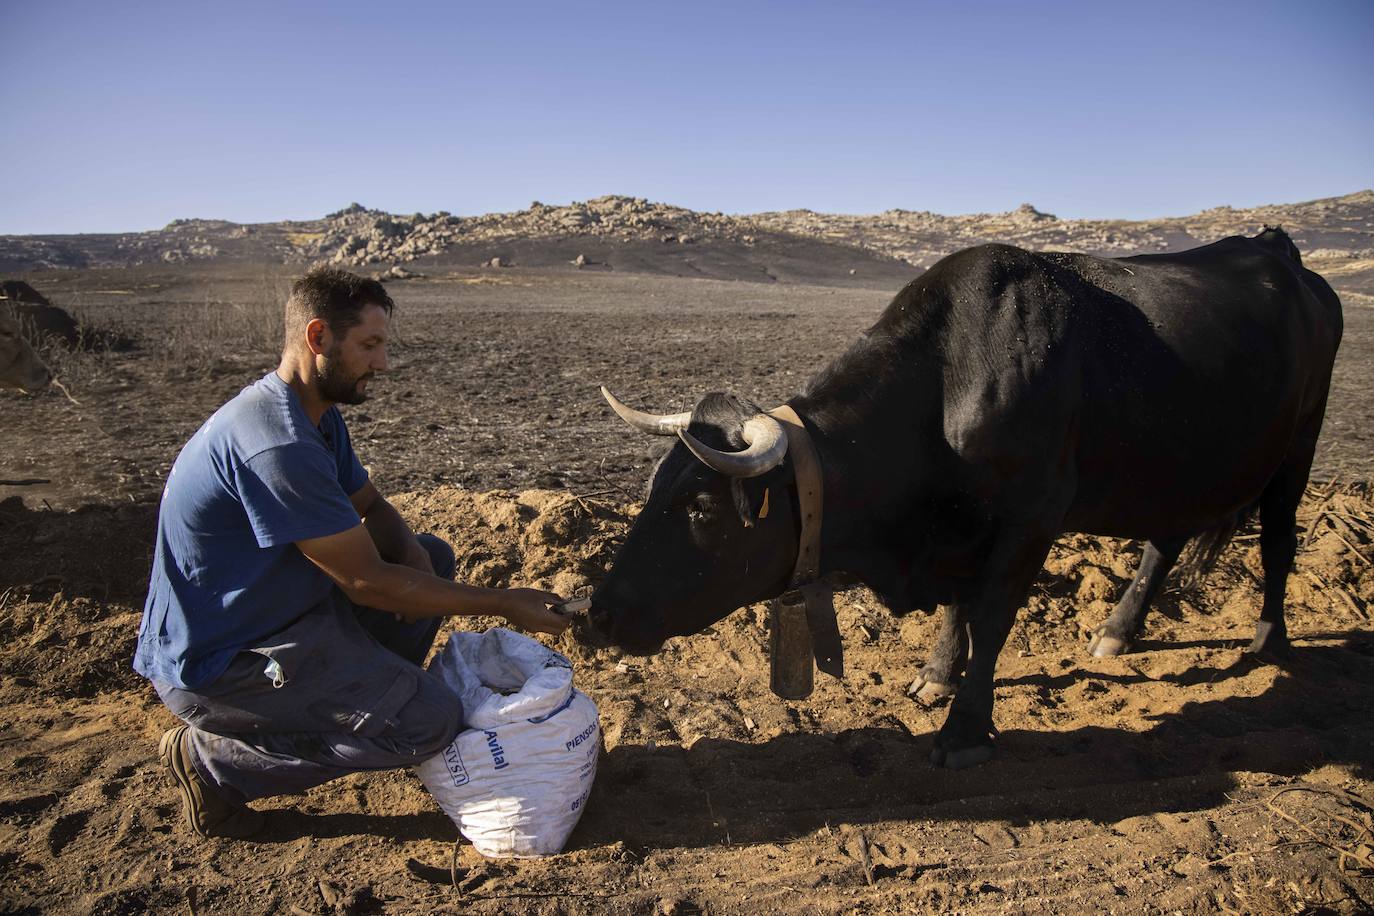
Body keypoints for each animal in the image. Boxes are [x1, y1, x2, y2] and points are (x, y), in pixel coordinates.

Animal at [582, 227, 1341, 769]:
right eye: (654, 488)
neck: (949, 383)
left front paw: (967, 725)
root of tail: (1276, 250)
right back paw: (1119, 630)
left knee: (1278, 541)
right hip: (1179, 467)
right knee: (1166, 538)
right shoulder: (959, 529)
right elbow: (956, 612)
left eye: (701, 507)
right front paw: (936, 677)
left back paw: (1269, 641)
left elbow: (993, 617)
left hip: (1298, 446)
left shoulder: (1032, 519)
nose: (598, 612)